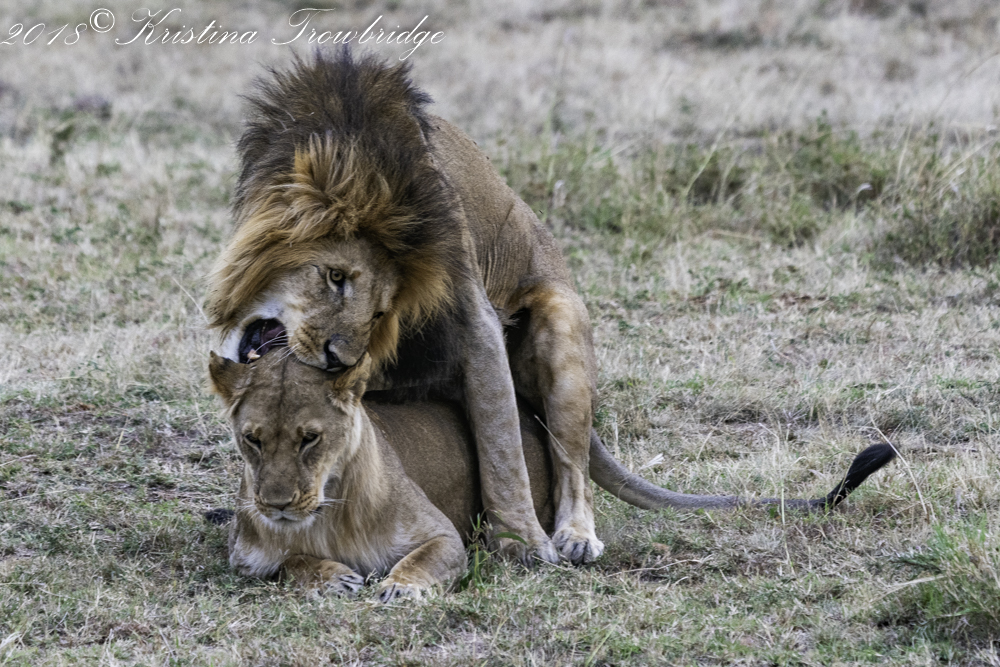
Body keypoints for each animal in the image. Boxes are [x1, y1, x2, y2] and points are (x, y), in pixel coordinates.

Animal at [205, 49, 604, 564]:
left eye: (380, 312)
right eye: (336, 277)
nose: (339, 359)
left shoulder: (473, 317)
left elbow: (502, 447)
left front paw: (522, 541)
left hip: (560, 325)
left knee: (572, 464)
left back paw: (575, 535)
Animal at [208, 350, 896, 601]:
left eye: (311, 438)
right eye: (252, 439)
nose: (275, 502)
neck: (327, 510)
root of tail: (530, 417)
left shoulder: (441, 536)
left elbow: (421, 560)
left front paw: (399, 587)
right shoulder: (246, 554)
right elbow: (287, 564)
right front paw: (329, 576)